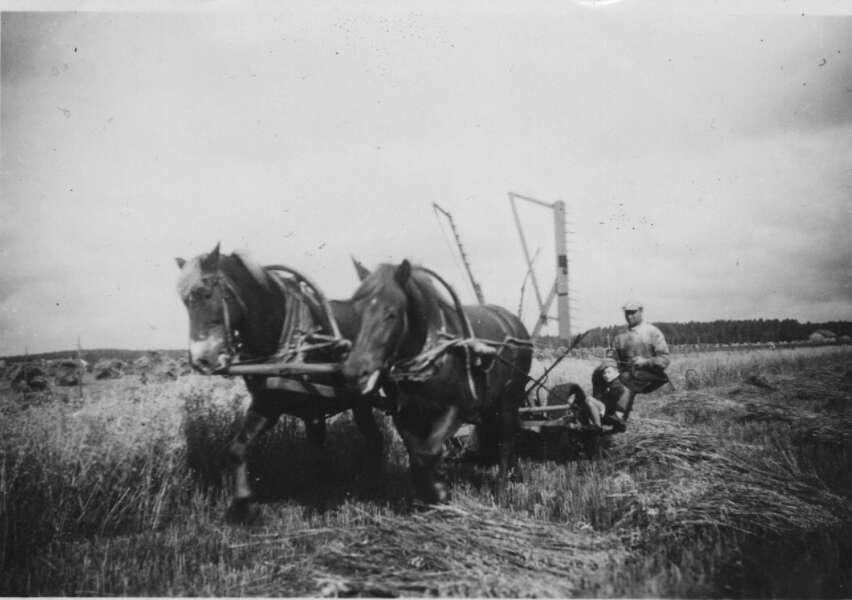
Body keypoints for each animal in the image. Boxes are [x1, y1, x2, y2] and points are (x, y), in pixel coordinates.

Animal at [176, 244, 382, 520]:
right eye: (185, 301)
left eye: (206, 293)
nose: (200, 360)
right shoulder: (267, 405)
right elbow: (238, 448)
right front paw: (242, 503)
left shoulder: (314, 411)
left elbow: (316, 454)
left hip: (364, 401)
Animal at [342, 260, 532, 504]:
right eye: (356, 311)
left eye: (391, 313)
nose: (354, 370)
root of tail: (515, 323)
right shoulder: (405, 414)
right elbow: (417, 456)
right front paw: (433, 490)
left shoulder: (455, 408)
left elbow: (428, 453)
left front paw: (440, 490)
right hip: (490, 405)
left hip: (509, 400)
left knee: (506, 442)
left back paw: (501, 492)